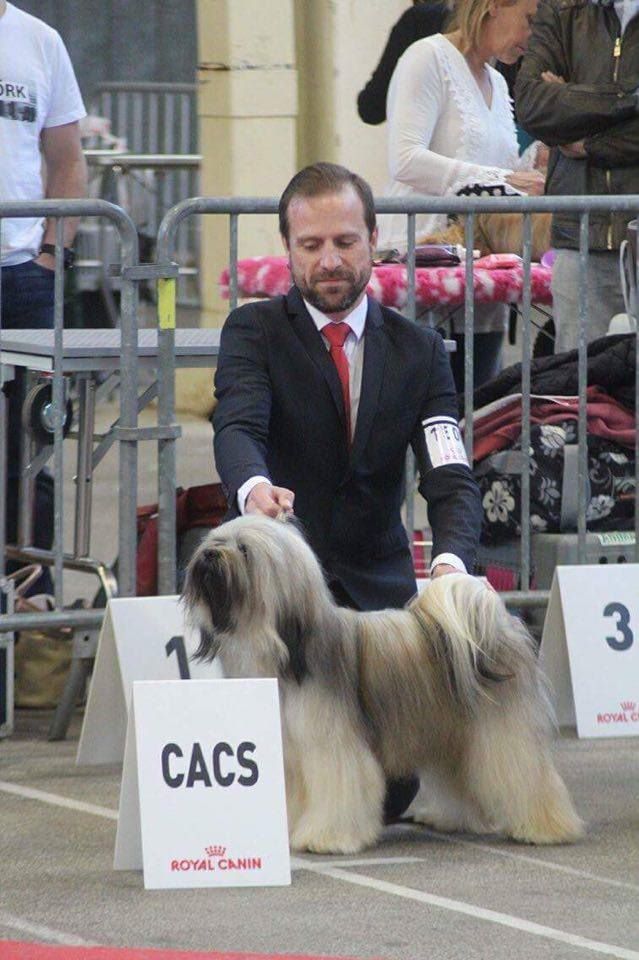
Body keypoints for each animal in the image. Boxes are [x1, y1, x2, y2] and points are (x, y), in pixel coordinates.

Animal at [182, 514, 583, 854]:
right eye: (216, 538)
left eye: (244, 549)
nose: (208, 554)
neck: (283, 646)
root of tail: (497, 626)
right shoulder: (292, 752)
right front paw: (292, 829)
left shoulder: (331, 746)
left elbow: (341, 784)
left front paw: (325, 838)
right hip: (450, 733)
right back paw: (451, 818)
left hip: (500, 731)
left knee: (527, 773)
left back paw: (547, 827)